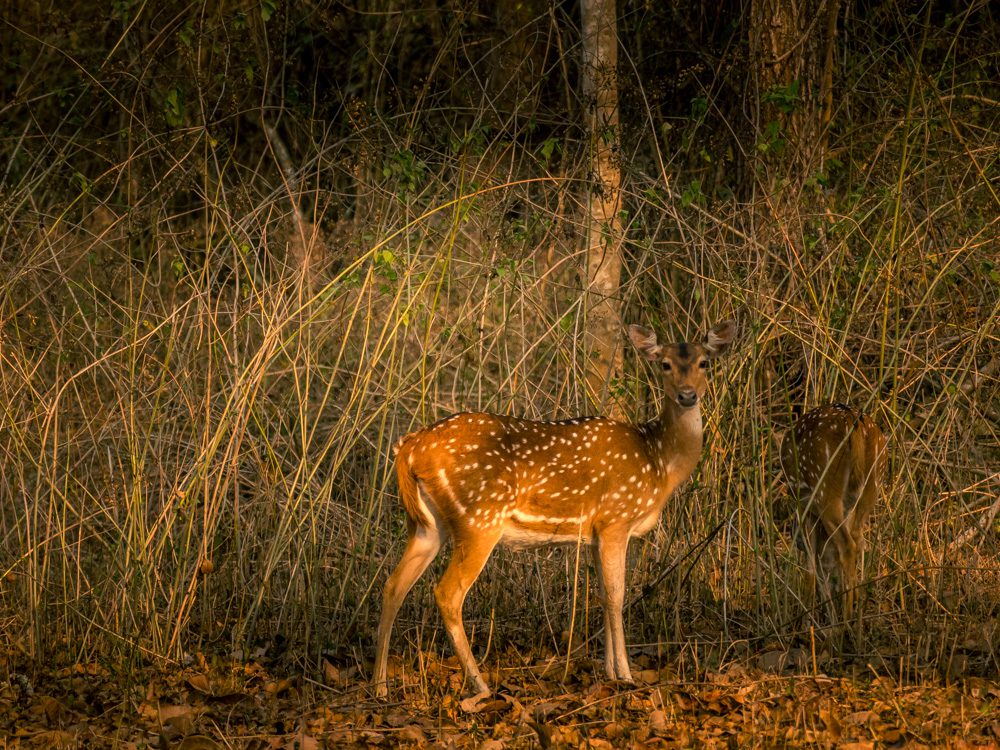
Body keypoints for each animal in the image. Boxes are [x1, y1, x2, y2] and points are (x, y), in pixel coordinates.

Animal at [372, 320, 737, 707]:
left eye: (704, 363)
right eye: (664, 364)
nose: (687, 395)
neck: (658, 461)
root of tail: (410, 448)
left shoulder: (595, 532)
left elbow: (603, 595)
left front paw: (610, 672)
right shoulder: (615, 518)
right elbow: (618, 595)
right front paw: (626, 676)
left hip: (429, 524)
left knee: (393, 585)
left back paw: (380, 685)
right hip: (479, 518)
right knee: (447, 592)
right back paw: (480, 686)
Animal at [779, 404, 887, 624]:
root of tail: (853, 422)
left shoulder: (806, 509)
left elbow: (811, 563)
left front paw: (805, 620)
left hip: (823, 487)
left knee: (846, 544)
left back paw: (845, 620)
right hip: (872, 486)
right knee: (858, 540)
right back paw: (855, 613)